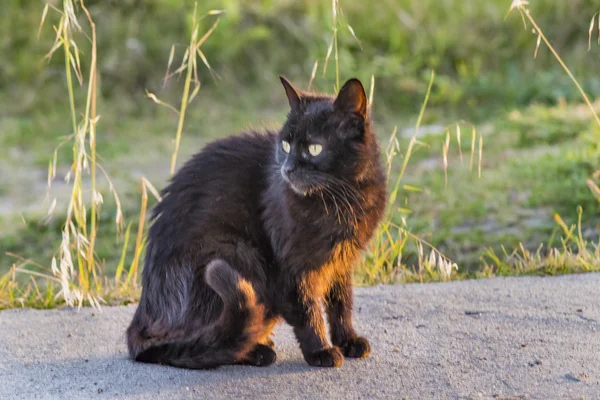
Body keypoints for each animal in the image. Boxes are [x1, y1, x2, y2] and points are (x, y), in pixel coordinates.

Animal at [128, 75, 386, 368]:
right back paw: (256, 350)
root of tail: (139, 321)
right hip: (238, 252)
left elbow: (341, 304)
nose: (286, 169)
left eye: (314, 148)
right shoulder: (291, 267)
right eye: (285, 145)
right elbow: (307, 309)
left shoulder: (341, 262)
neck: (342, 199)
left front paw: (348, 340)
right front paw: (320, 350)